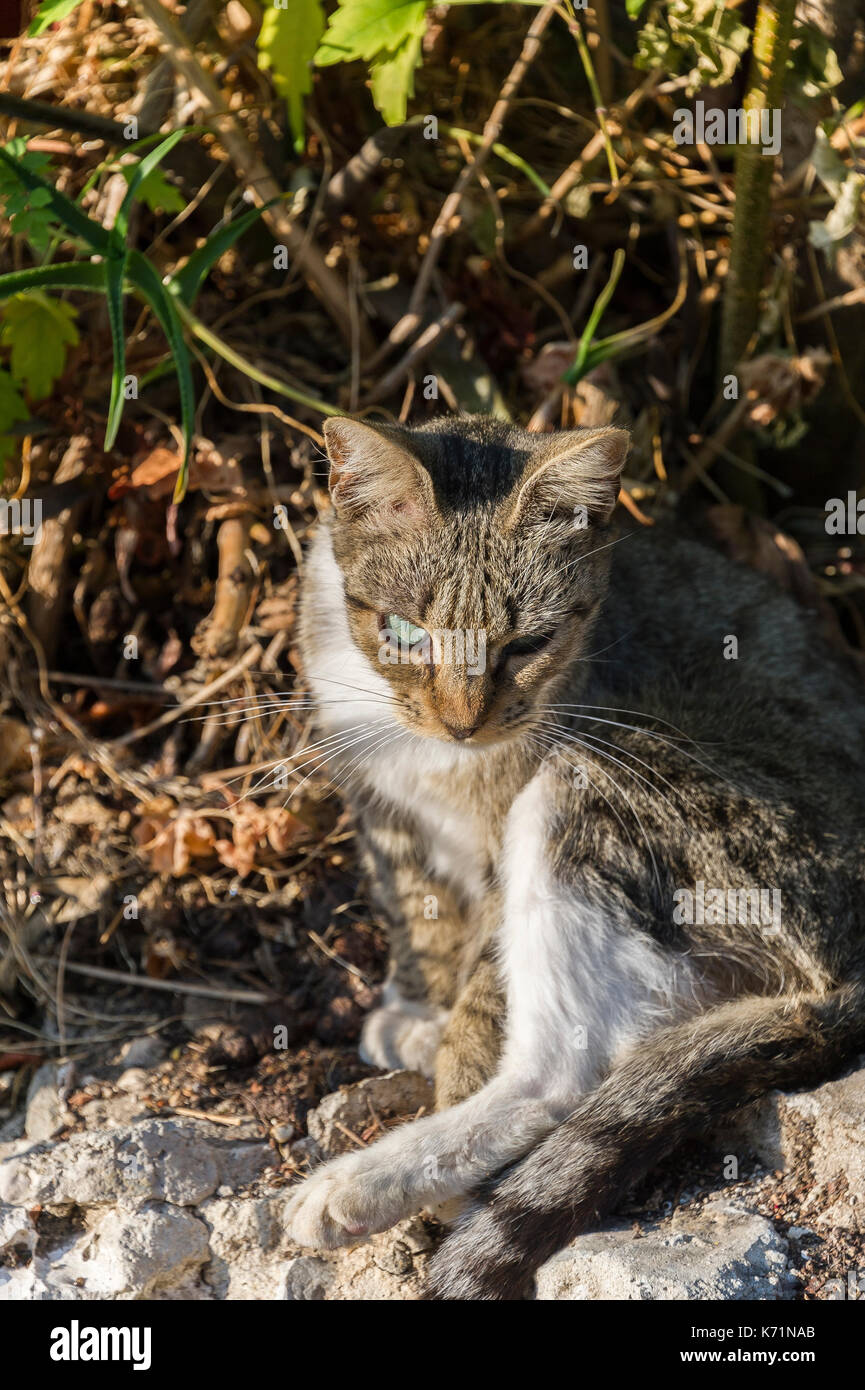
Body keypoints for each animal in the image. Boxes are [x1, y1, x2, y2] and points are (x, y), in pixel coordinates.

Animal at [286, 414, 865, 1301]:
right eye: (407, 633)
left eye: (528, 642)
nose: (461, 724)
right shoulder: (379, 801)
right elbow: (415, 910)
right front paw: (416, 1005)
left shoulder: (525, 793)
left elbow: (486, 989)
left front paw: (451, 1057)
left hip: (610, 783)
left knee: (561, 1073)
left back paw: (368, 1182)